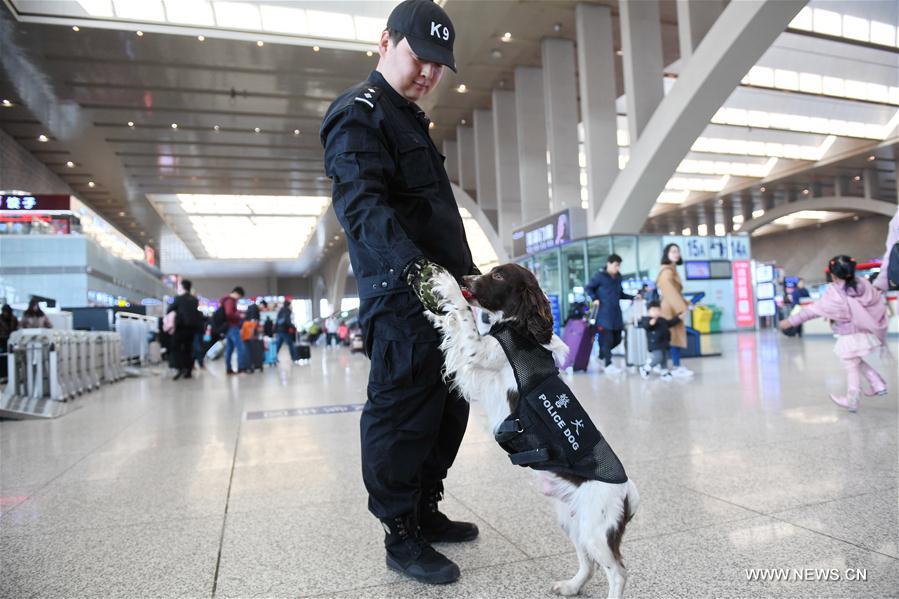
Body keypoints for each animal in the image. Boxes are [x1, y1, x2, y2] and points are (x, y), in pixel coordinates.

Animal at [428, 264, 640, 596]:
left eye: (498, 276)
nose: (465, 278)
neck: (521, 331)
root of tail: (628, 493)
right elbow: (456, 321)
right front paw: (434, 311)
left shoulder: (478, 351)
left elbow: (464, 315)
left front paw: (446, 285)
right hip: (572, 521)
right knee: (589, 563)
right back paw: (570, 586)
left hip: (596, 530)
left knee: (618, 572)